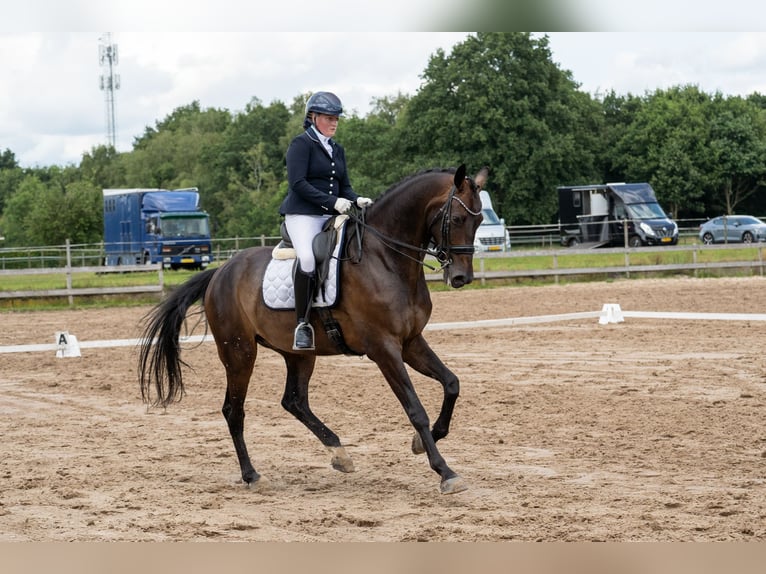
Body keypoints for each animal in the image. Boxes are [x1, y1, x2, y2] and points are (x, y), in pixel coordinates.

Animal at [138, 164, 487, 494]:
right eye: (457, 219)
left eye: (480, 220)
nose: (461, 278)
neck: (386, 259)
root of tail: (221, 272)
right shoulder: (383, 348)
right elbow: (415, 409)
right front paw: (446, 472)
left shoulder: (410, 342)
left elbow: (452, 384)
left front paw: (423, 442)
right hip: (238, 352)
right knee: (234, 410)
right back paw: (252, 476)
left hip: (298, 353)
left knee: (294, 401)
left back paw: (339, 453)